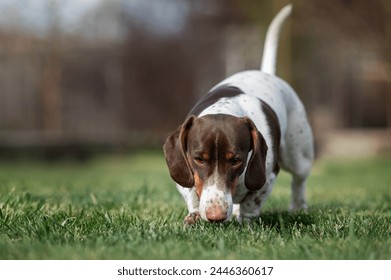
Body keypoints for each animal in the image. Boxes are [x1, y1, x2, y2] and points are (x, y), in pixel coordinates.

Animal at [164, 3, 314, 223]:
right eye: (199, 159)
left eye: (236, 160)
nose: (215, 216)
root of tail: (266, 73)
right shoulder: (186, 174)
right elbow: (192, 191)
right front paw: (195, 214)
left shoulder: (268, 175)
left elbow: (253, 201)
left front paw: (246, 221)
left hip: (298, 155)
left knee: (299, 180)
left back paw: (297, 207)